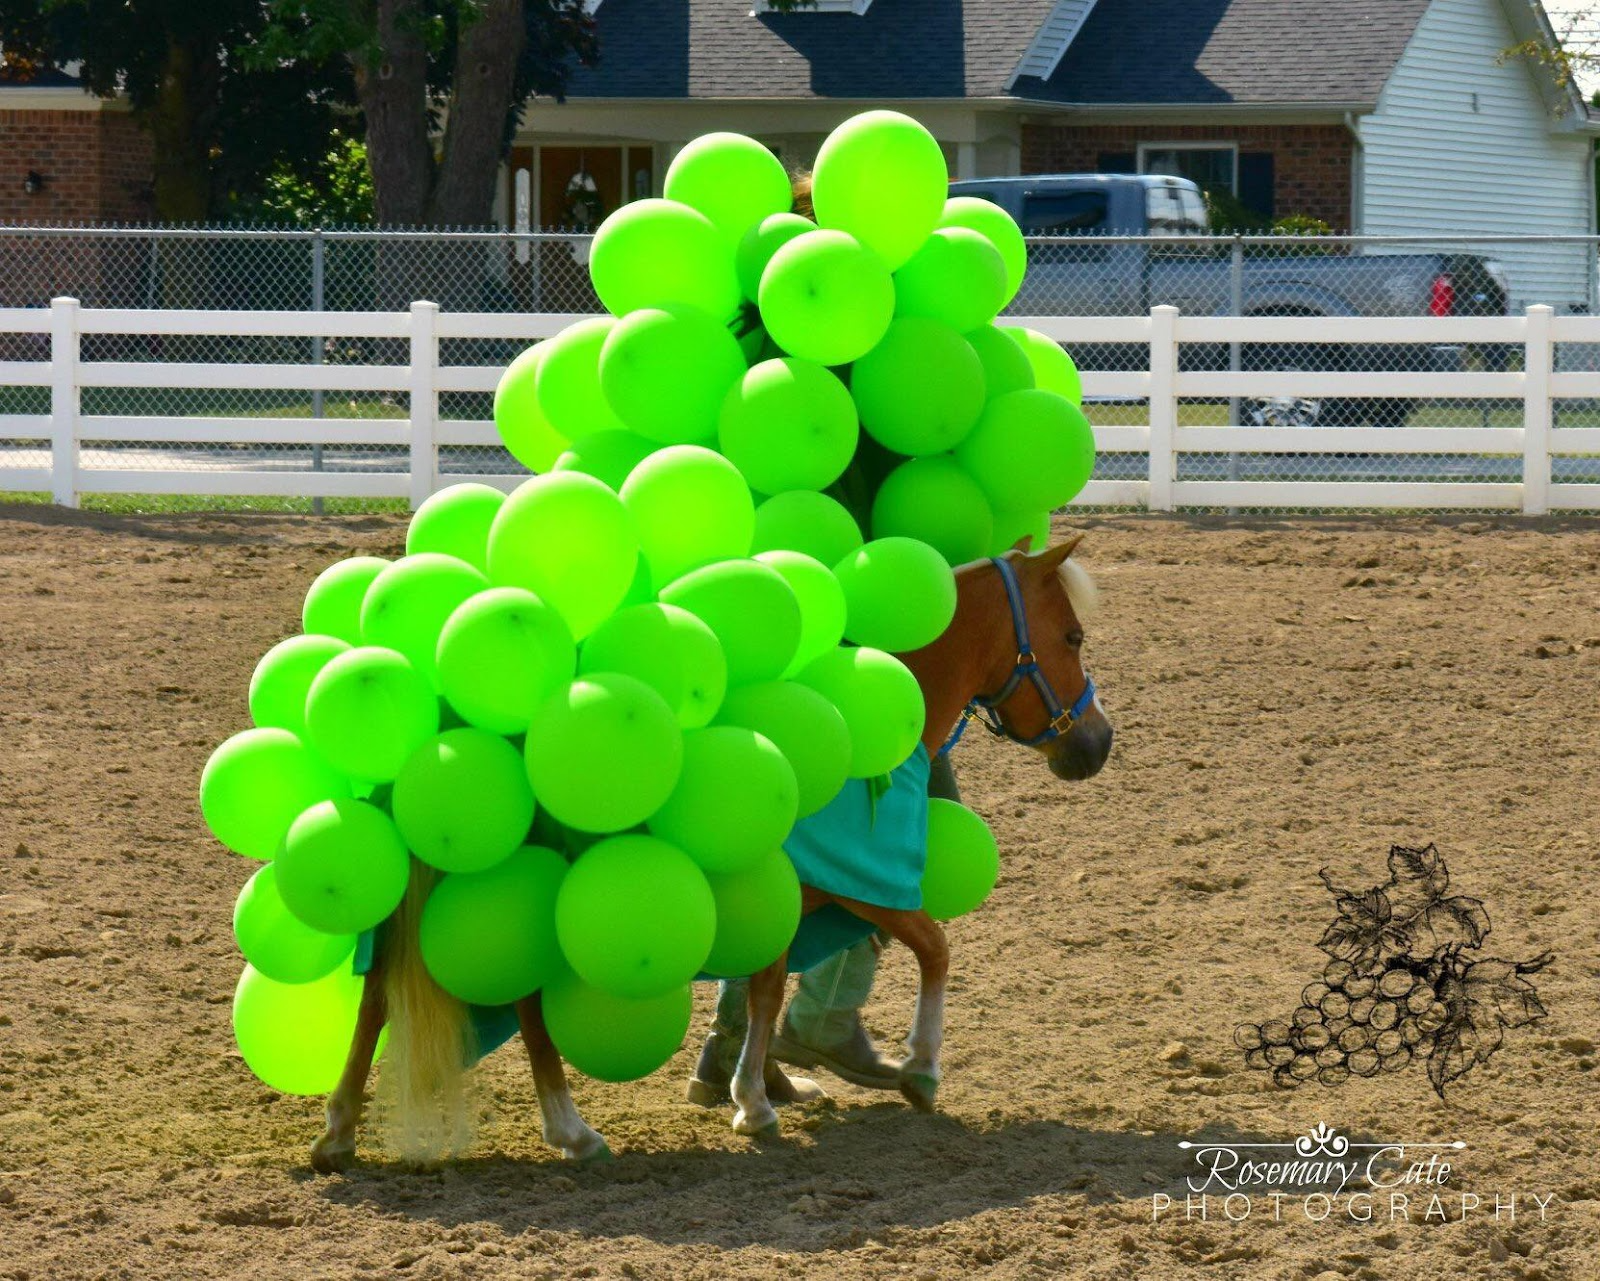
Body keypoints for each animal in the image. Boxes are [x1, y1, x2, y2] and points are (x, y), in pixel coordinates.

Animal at [309, 534, 1112, 1170]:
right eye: (1072, 636)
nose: (1097, 743)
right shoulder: (854, 883)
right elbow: (929, 949)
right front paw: (912, 1069)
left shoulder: (795, 897)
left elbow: (769, 986)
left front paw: (761, 1091)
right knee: (525, 1006)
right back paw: (571, 1129)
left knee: (378, 998)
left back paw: (339, 1131)